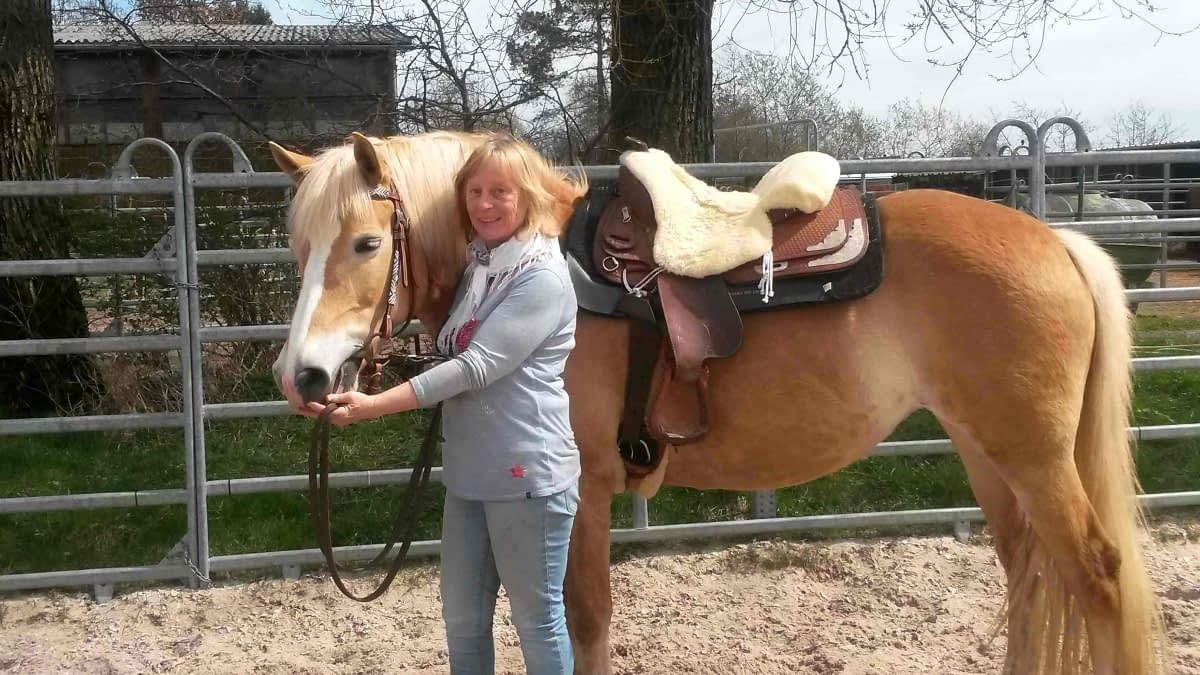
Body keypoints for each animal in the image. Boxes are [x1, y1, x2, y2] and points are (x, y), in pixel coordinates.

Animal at [267, 130, 1165, 675]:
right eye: (299, 246)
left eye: (367, 242)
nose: (301, 377)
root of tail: (1057, 241)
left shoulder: (582, 492)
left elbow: (584, 618)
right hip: (989, 454)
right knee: (1030, 575)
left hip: (1035, 458)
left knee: (1097, 575)